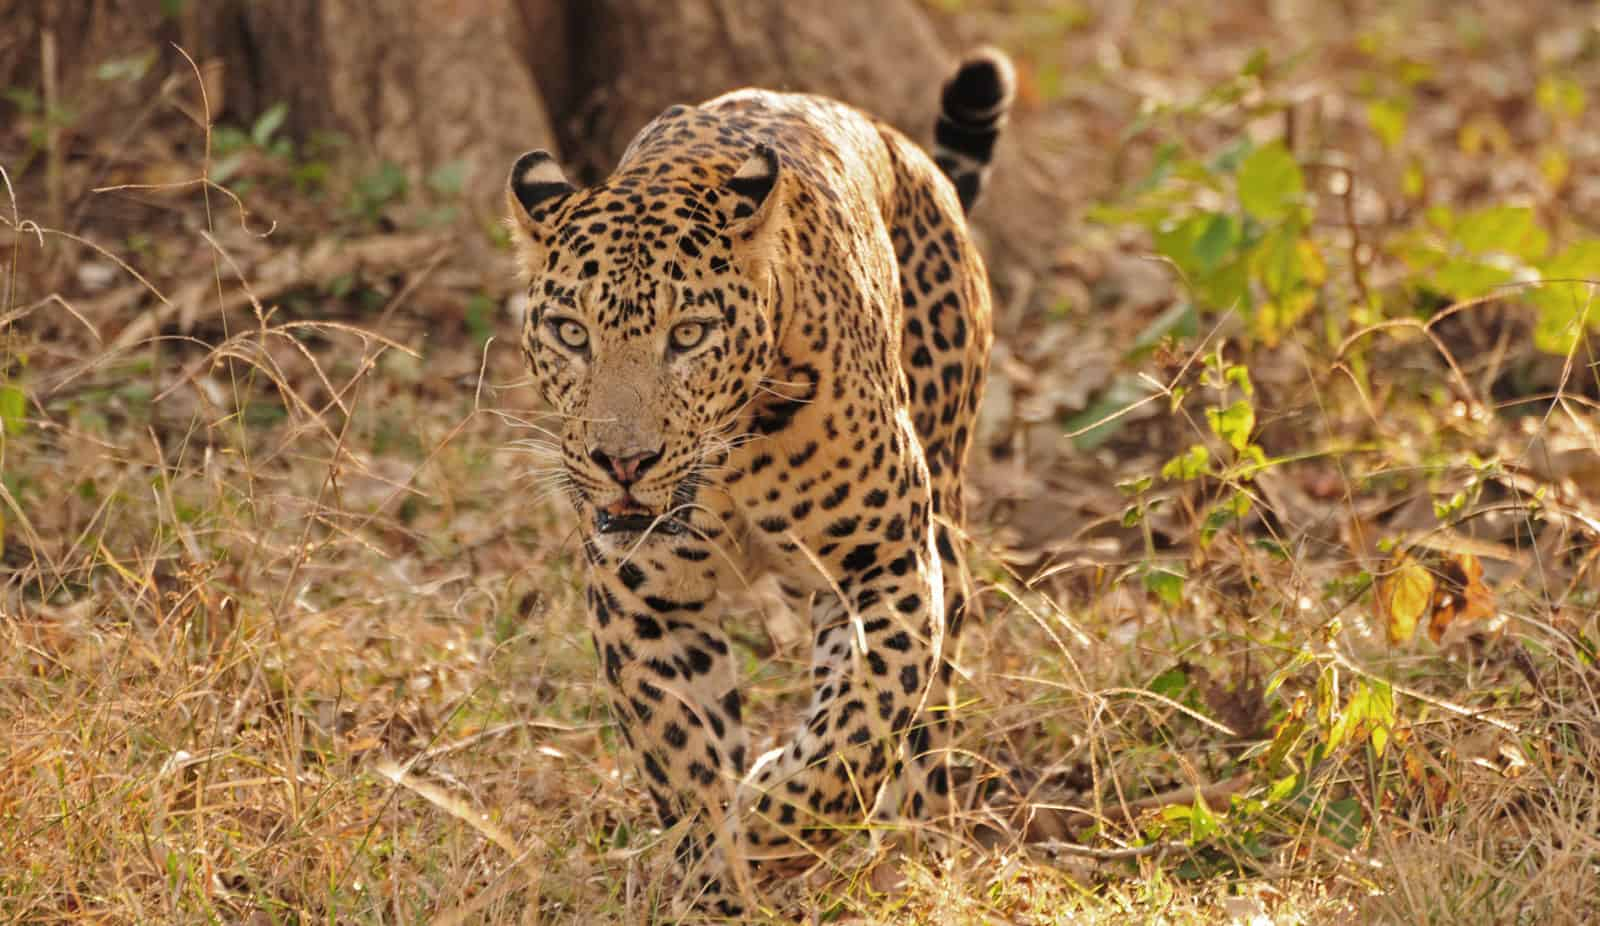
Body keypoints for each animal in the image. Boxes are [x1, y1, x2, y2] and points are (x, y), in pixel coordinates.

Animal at [506, 48, 1014, 918]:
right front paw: (718, 874)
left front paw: (771, 825)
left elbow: (860, 726)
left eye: (689, 335)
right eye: (571, 333)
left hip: (943, 504)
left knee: (930, 711)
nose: (623, 463)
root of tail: (902, 149)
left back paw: (913, 839)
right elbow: (679, 749)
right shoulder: (641, 600)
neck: (730, 463)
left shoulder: (886, 565)